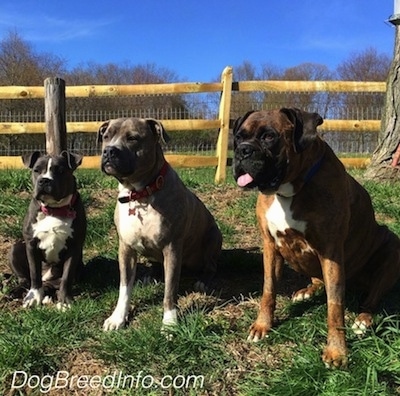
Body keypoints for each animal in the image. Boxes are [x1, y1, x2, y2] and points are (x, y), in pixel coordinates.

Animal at [8, 152, 86, 310]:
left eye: (60, 170)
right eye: (36, 170)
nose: (44, 180)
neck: (54, 210)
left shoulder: (74, 248)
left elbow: (67, 277)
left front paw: (65, 301)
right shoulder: (31, 245)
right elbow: (34, 273)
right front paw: (33, 297)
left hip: (80, 268)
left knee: (56, 284)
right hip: (15, 248)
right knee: (25, 279)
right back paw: (16, 291)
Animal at [97, 117, 222, 332]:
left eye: (133, 138)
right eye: (106, 137)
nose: (109, 151)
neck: (140, 193)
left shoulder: (171, 248)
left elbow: (170, 290)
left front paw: (170, 323)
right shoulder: (125, 248)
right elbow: (124, 288)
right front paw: (118, 318)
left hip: (213, 236)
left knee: (212, 266)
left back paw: (203, 281)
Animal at [231, 107, 400, 368]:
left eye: (269, 137)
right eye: (239, 137)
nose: (242, 150)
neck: (288, 190)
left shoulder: (331, 252)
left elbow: (335, 306)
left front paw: (337, 351)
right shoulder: (270, 246)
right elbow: (268, 290)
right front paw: (262, 326)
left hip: (392, 247)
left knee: (372, 298)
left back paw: (363, 319)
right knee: (318, 281)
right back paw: (306, 292)